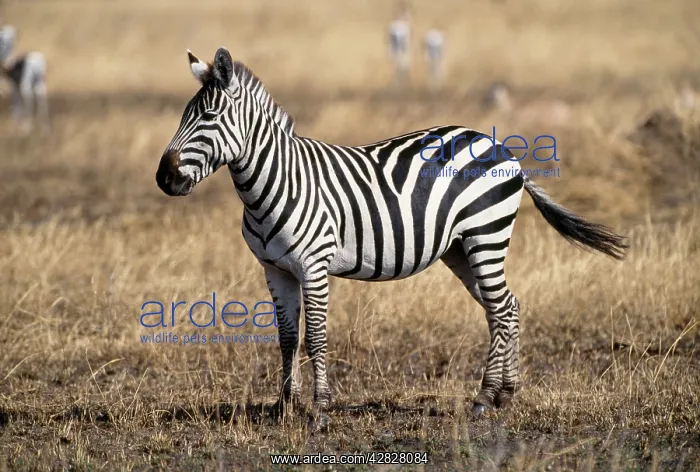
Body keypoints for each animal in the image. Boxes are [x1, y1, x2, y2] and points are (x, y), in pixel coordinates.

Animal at [156, 47, 627, 430]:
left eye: (208, 118)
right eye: (182, 117)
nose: (164, 178)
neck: (276, 183)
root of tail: (498, 145)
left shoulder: (314, 266)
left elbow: (315, 337)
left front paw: (320, 411)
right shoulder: (275, 270)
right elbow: (287, 338)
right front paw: (282, 408)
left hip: (486, 235)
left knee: (502, 309)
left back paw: (484, 398)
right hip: (460, 248)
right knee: (505, 308)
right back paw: (502, 395)